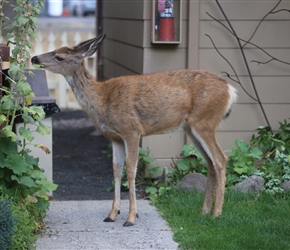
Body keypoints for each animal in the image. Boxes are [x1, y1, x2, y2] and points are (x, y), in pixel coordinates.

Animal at [30, 33, 237, 227]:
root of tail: (230, 90)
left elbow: (130, 170)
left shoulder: (132, 130)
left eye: (59, 57)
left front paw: (131, 217)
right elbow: (116, 169)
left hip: (204, 121)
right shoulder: (114, 137)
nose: (34, 58)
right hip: (191, 128)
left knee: (220, 159)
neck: (102, 99)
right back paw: (204, 212)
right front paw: (112, 214)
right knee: (210, 162)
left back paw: (217, 214)